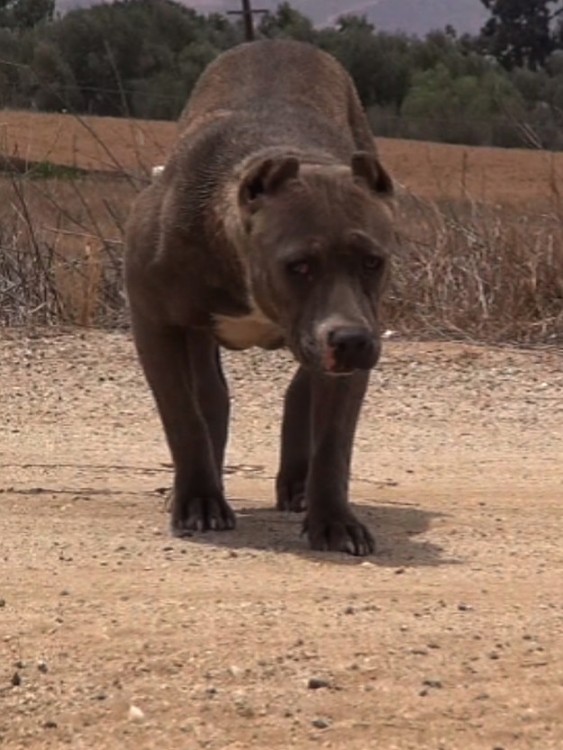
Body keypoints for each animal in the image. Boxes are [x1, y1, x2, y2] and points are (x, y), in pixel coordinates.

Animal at [124, 39, 396, 560]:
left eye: (373, 262)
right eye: (299, 265)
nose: (351, 339)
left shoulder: (355, 333)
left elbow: (335, 440)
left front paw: (334, 519)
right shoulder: (155, 323)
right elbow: (184, 415)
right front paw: (198, 500)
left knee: (300, 391)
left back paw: (297, 486)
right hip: (198, 333)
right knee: (211, 396)